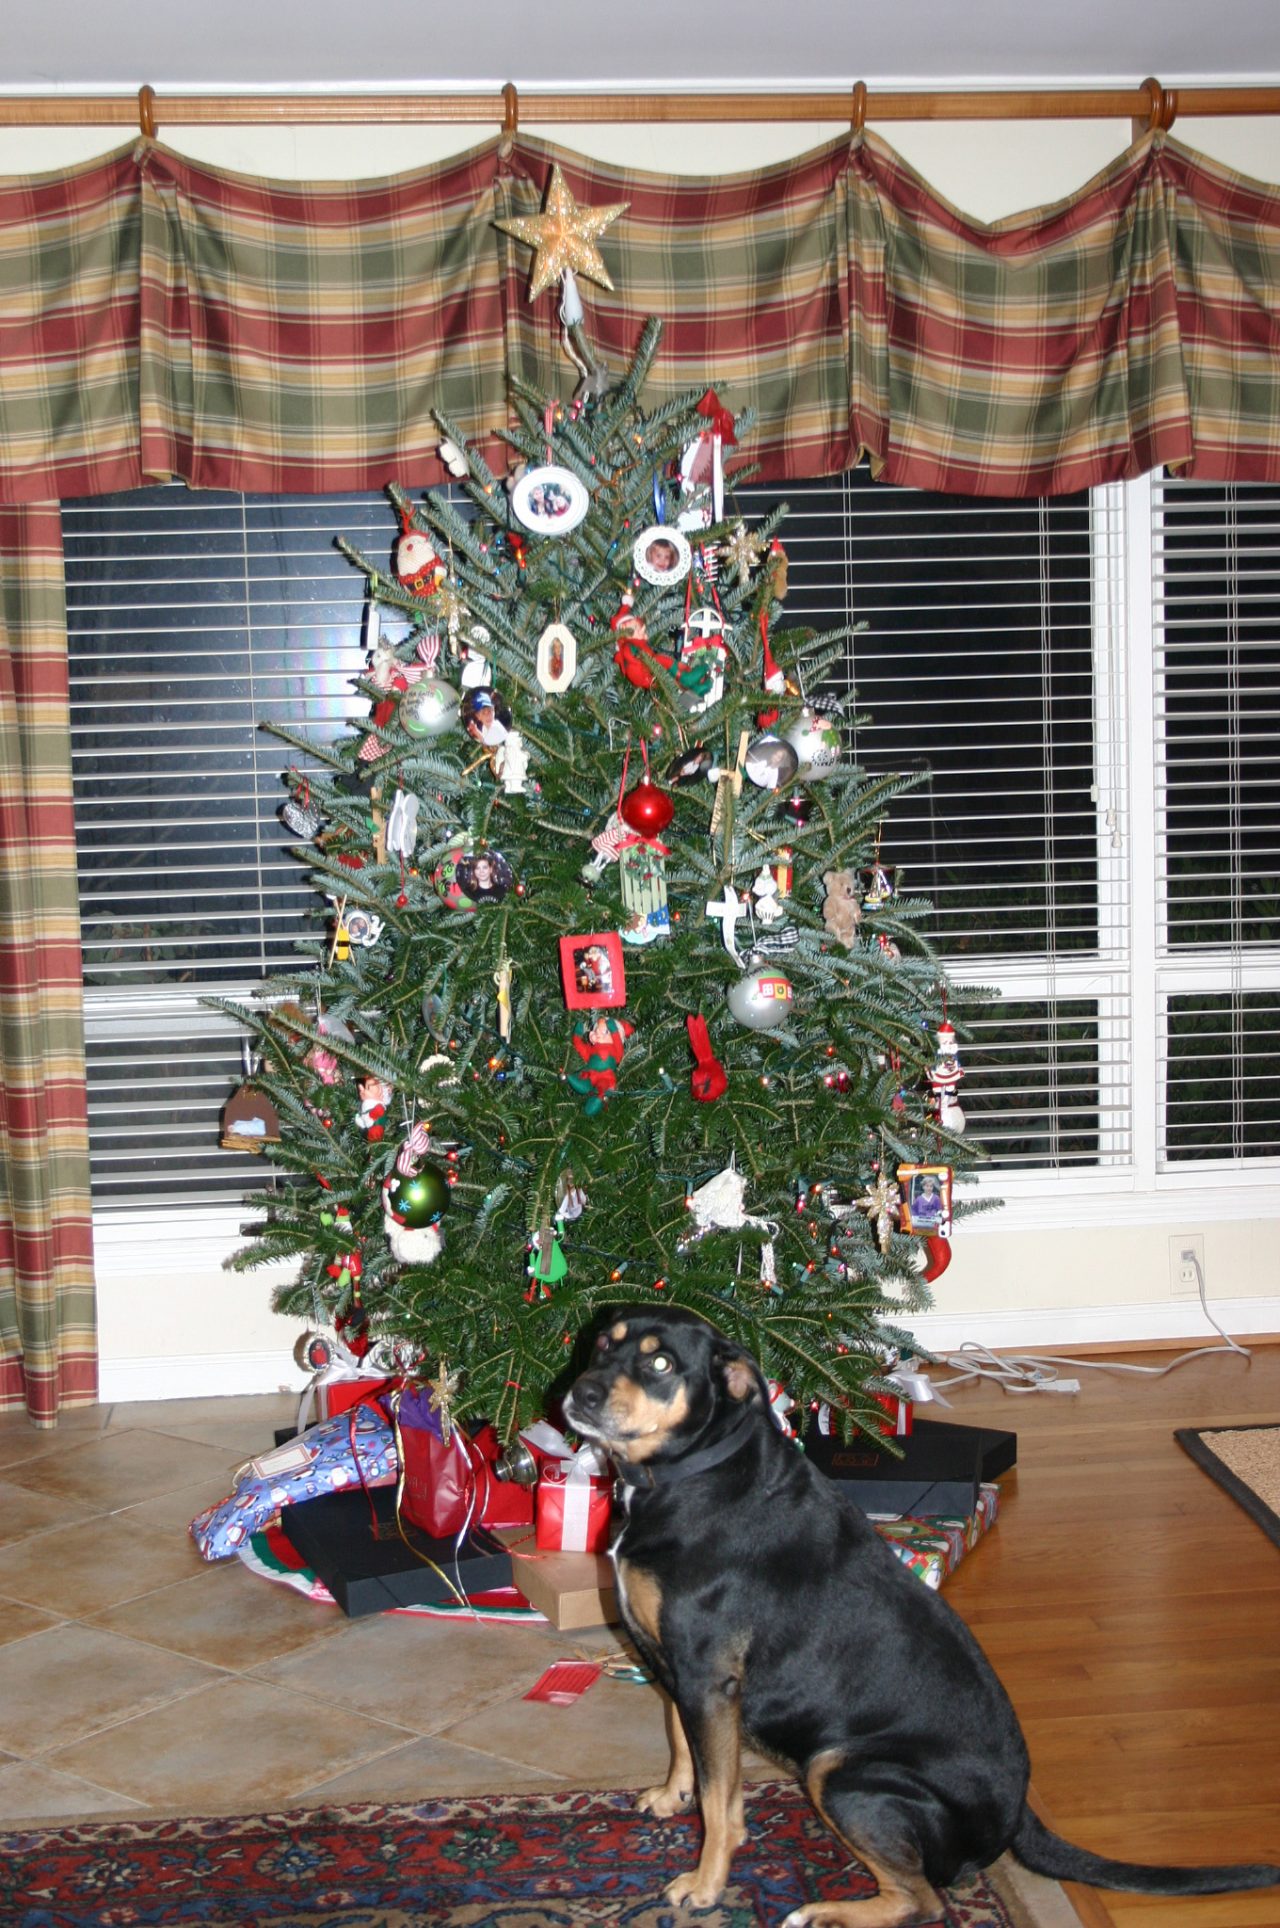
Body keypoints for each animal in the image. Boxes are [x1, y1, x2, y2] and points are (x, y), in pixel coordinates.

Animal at [562, 1303, 1280, 1920]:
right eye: (602, 1346)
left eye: (660, 1364)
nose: (581, 1394)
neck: (691, 1472)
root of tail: (1016, 1817)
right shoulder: (679, 1667)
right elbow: (682, 1742)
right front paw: (670, 1796)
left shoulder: (710, 1675)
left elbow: (722, 1803)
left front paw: (705, 1885)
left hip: (842, 1771)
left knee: (923, 1899)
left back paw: (825, 1912)